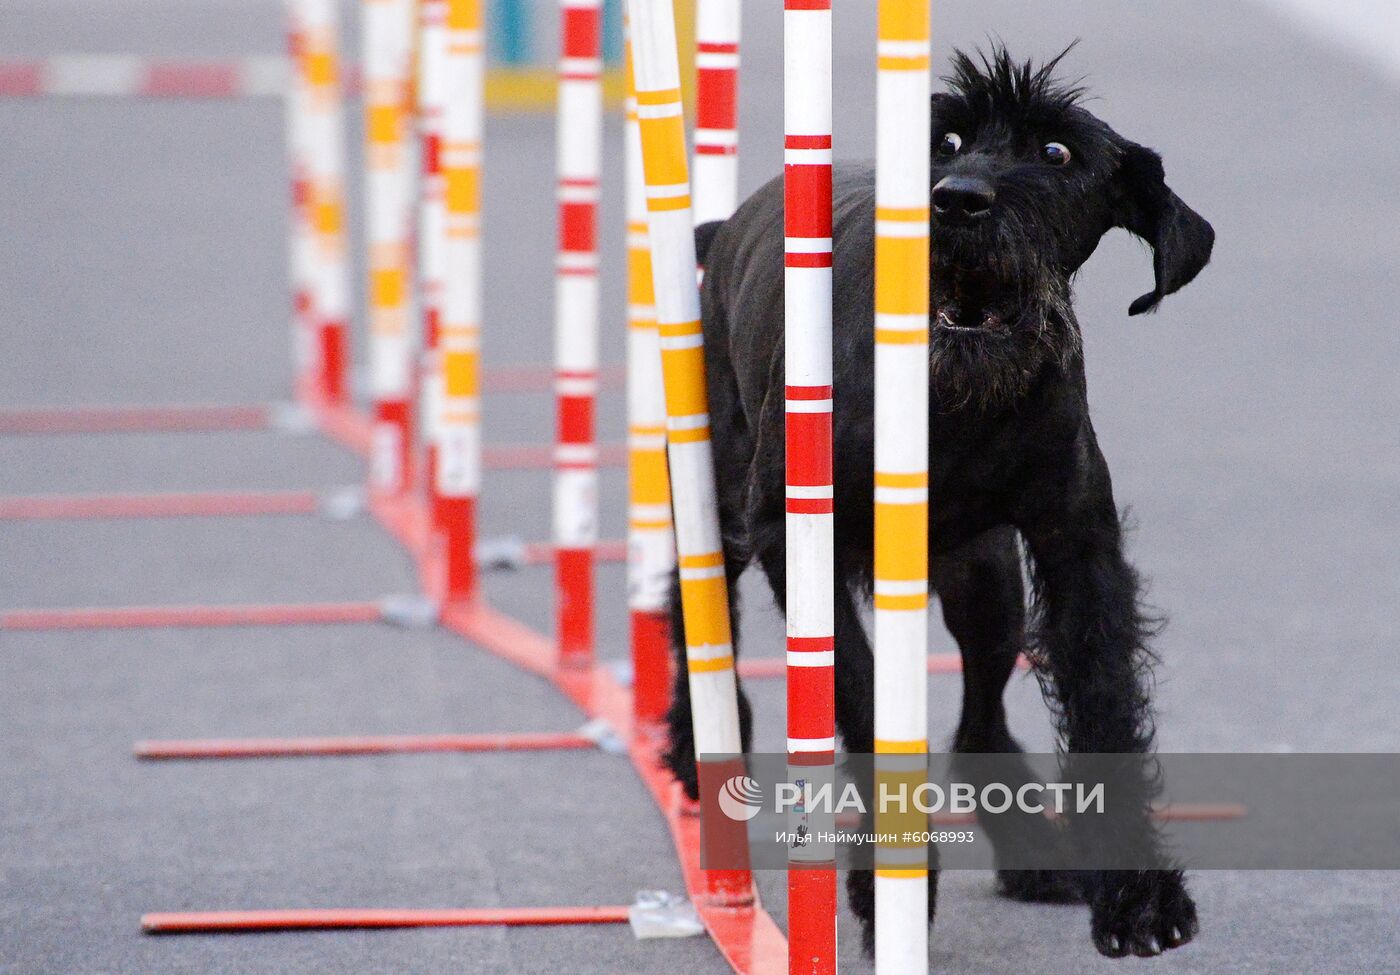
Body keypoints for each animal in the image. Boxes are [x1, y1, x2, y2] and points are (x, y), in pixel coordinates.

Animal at [663, 49, 1215, 958]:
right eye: (945, 141)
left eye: (1057, 153)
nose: (958, 199)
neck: (949, 399)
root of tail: (729, 223)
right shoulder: (790, 535)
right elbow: (860, 696)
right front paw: (885, 881)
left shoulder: (1075, 544)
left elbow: (1103, 702)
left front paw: (1138, 898)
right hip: (720, 511)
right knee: (696, 624)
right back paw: (693, 748)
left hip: (985, 582)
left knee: (980, 718)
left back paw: (1031, 854)